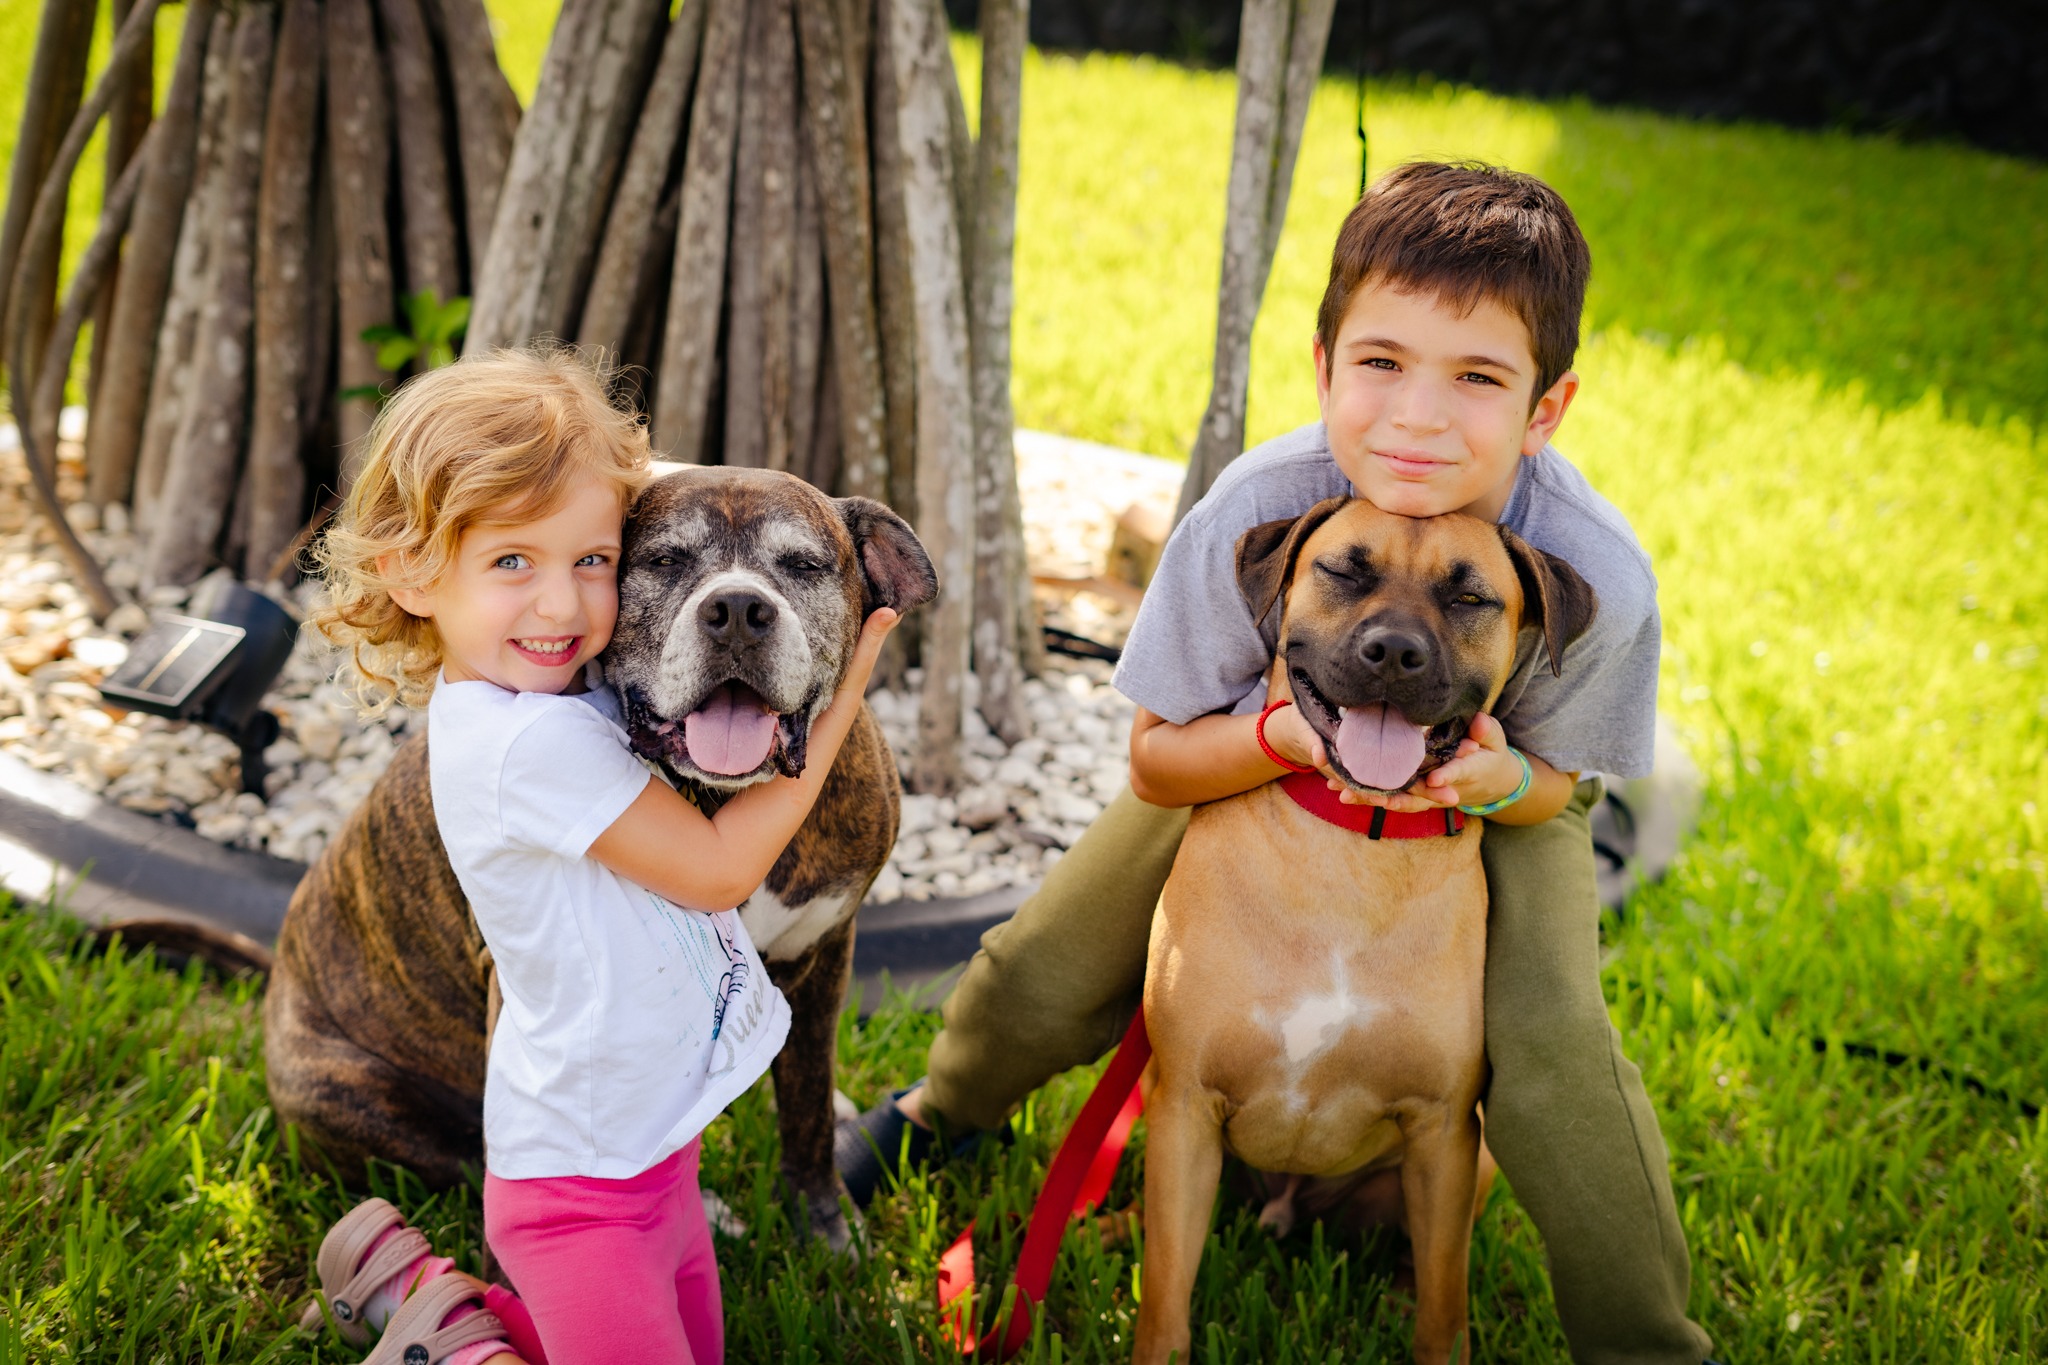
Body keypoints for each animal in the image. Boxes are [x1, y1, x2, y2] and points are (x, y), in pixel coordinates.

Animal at [1133, 497, 1595, 1365]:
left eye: (1469, 597)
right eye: (1345, 570)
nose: (1394, 653)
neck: (1356, 842)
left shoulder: (1443, 1130)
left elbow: (1445, 1308)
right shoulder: (1183, 1106)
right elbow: (1164, 1303)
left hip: (1475, 1159)